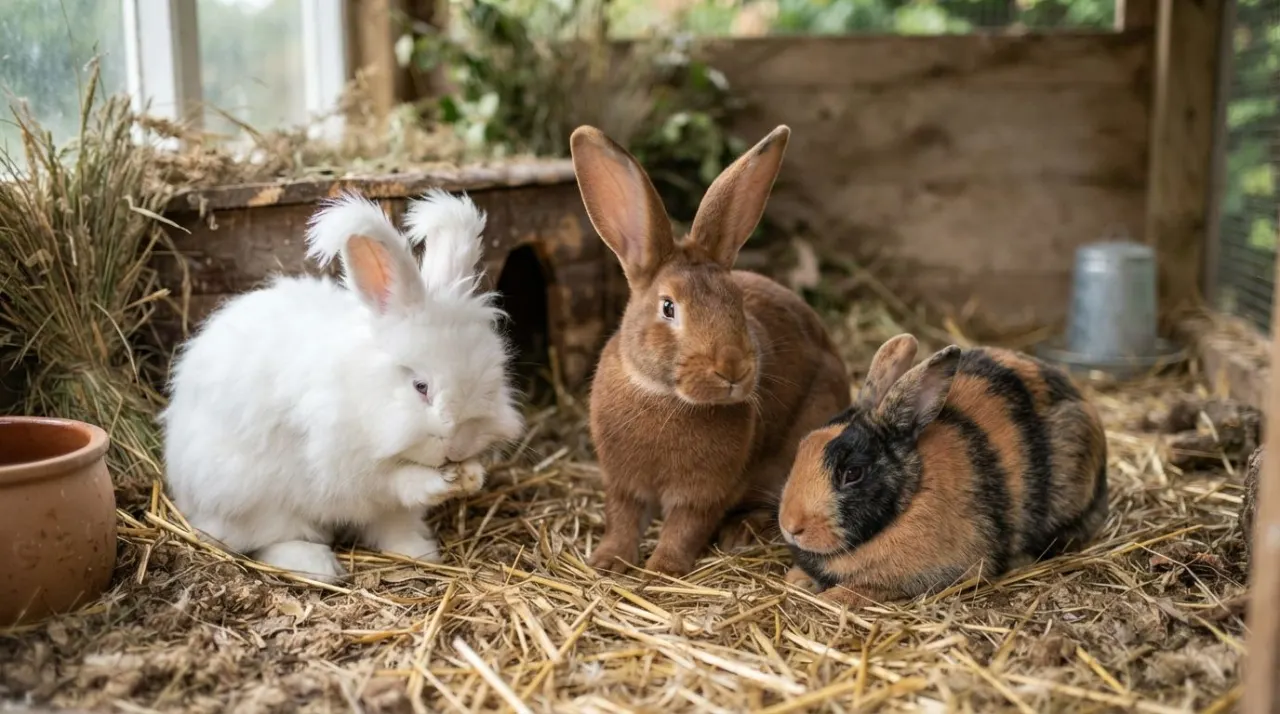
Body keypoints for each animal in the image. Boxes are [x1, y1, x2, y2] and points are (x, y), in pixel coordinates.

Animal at [161, 189, 524, 583]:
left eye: (492, 383)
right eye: (421, 387)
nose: (457, 448)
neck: (366, 388)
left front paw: (472, 475)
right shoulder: (341, 463)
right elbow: (395, 481)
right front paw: (439, 482)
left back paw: (419, 551)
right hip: (251, 497)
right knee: (268, 539)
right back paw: (316, 566)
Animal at [570, 123, 852, 577]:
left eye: (736, 301)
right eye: (668, 307)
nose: (732, 368)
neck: (664, 396)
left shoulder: (702, 495)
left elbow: (683, 528)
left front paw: (662, 568)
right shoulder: (622, 484)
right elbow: (622, 521)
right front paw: (607, 562)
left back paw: (743, 532)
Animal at [777, 333, 1109, 607]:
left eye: (852, 473)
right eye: (802, 447)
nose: (791, 526)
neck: (911, 497)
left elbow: (865, 588)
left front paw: (832, 598)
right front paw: (797, 580)